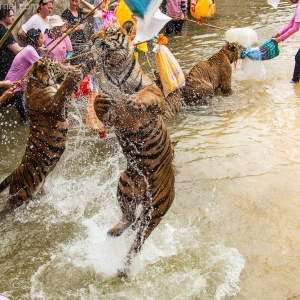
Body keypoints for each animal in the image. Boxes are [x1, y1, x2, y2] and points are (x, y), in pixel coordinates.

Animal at [0, 57, 94, 210]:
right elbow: (64, 88)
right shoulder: (56, 106)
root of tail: (14, 174)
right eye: (58, 66)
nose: (68, 67)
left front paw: (88, 62)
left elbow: (70, 87)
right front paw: (74, 72)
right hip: (20, 197)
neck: (38, 82)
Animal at [91, 21, 176, 276]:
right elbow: (101, 106)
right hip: (124, 186)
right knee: (128, 218)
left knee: (138, 241)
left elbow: (145, 94)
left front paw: (135, 100)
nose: (93, 38)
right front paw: (99, 101)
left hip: (155, 212)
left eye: (109, 31)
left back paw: (125, 269)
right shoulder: (112, 118)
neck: (115, 71)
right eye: (94, 32)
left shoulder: (157, 96)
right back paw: (115, 230)